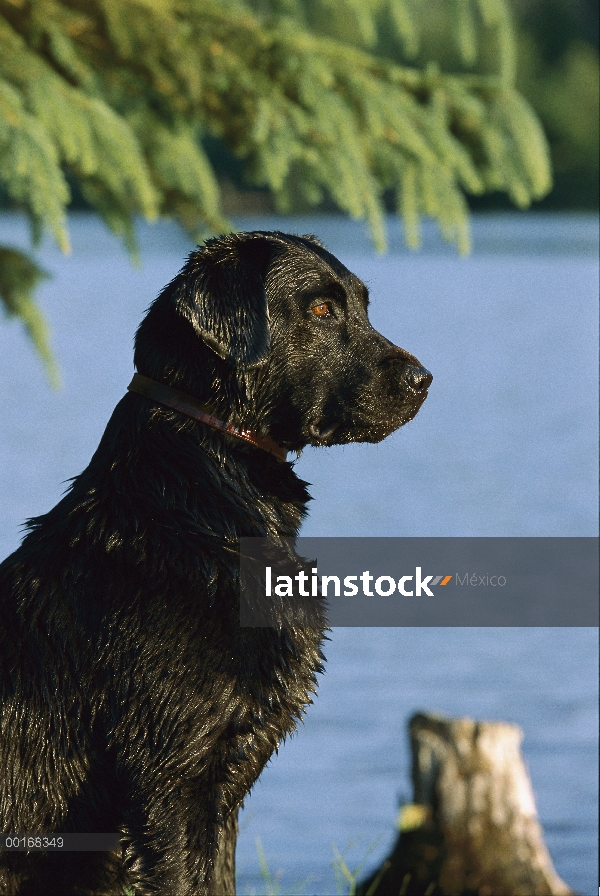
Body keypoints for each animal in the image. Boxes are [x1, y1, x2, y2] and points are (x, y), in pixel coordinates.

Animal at [0, 233, 432, 896]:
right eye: (321, 309)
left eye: (362, 304)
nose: (424, 378)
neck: (203, 500)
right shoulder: (171, 785)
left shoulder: (223, 786)